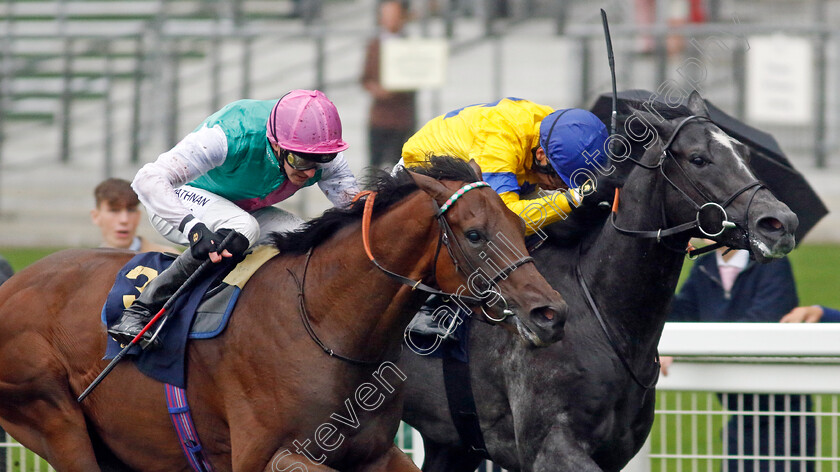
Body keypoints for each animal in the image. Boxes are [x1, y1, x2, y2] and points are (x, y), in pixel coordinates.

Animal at [0, 158, 572, 472]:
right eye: (474, 234)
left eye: (521, 228)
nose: (550, 313)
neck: (325, 323)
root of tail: (13, 284)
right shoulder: (269, 455)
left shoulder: (374, 455)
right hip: (53, 419)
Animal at [400, 90, 800, 470]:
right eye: (699, 158)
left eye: (744, 153)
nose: (780, 222)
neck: (600, 312)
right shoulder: (549, 447)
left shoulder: (615, 451)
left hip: (452, 444)